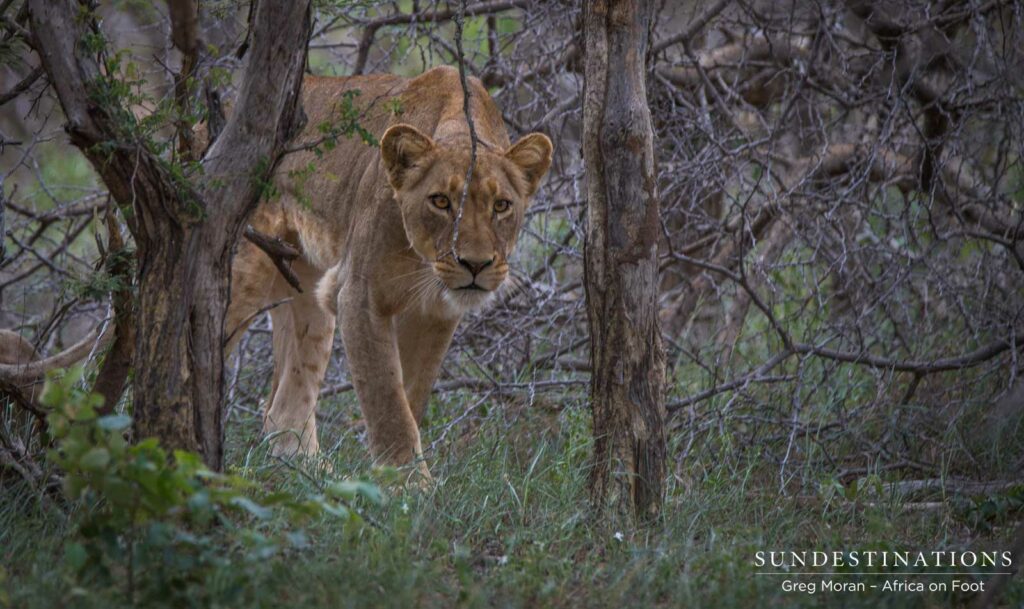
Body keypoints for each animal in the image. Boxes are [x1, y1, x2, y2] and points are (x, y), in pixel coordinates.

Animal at [225, 66, 553, 480]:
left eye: (502, 206)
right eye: (440, 201)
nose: (475, 265)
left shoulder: (436, 314)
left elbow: (410, 397)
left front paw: (392, 480)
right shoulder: (358, 296)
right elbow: (386, 397)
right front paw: (409, 485)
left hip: (307, 290)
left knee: (283, 404)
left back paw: (311, 473)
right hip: (244, 271)